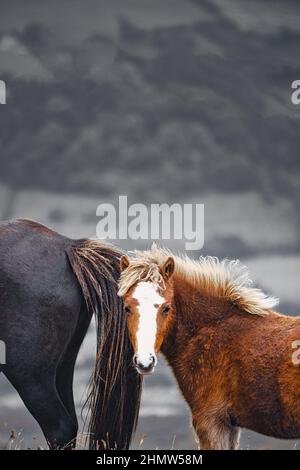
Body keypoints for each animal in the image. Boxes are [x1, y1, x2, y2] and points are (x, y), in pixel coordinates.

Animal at [118, 244, 300, 450]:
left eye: (166, 308)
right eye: (127, 308)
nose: (145, 362)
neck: (210, 329)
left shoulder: (211, 421)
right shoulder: (230, 426)